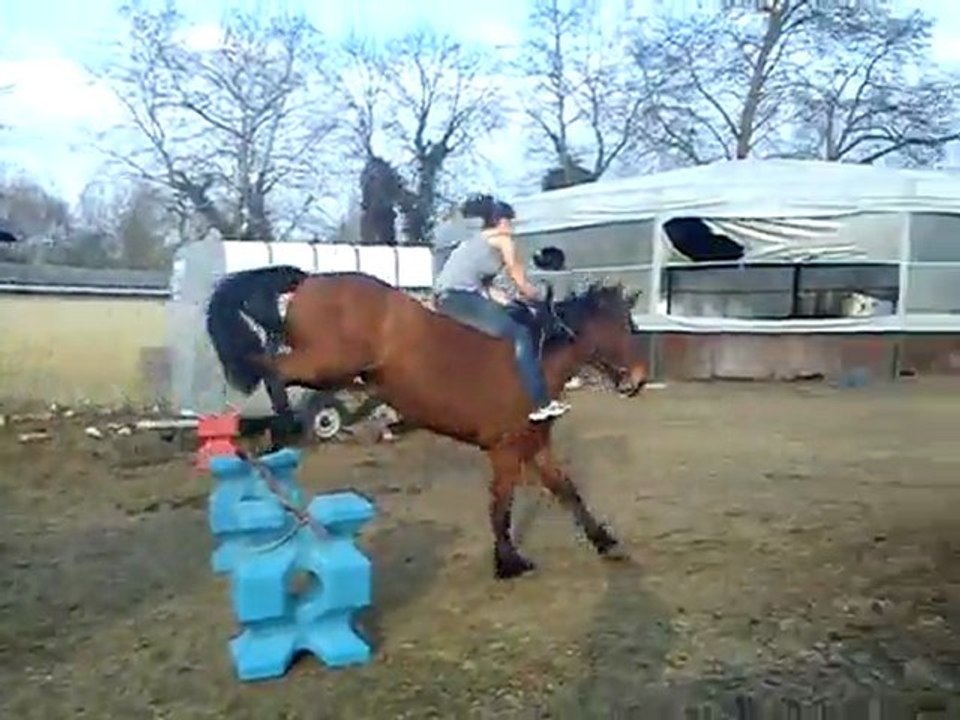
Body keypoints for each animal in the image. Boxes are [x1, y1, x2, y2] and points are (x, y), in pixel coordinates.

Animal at [205, 267, 648, 580]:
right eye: (619, 327)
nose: (639, 379)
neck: (536, 363)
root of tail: (310, 280)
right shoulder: (505, 451)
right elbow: (501, 504)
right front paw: (508, 562)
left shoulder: (534, 446)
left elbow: (568, 491)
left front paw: (605, 542)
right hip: (326, 363)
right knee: (269, 365)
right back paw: (277, 423)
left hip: (334, 370)